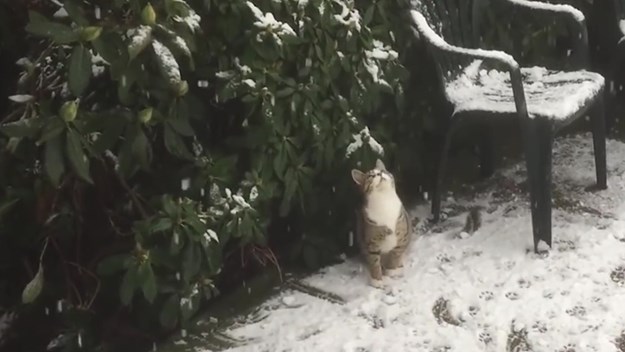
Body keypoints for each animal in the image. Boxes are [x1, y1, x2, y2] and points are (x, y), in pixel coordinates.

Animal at [352, 160, 410, 288]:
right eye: (371, 175)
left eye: (382, 171)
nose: (379, 174)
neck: (384, 201)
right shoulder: (371, 242)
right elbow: (374, 261)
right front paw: (377, 280)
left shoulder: (402, 235)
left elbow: (396, 254)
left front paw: (392, 270)